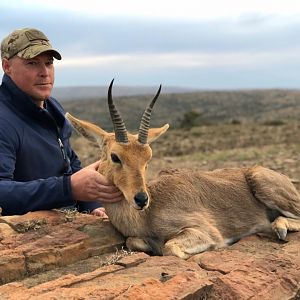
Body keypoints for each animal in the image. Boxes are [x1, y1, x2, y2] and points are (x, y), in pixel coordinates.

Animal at [67, 80, 300, 260]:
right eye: (115, 156)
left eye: (148, 157)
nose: (141, 199)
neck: (147, 216)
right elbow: (134, 242)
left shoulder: (205, 231)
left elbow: (170, 247)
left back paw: (279, 227)